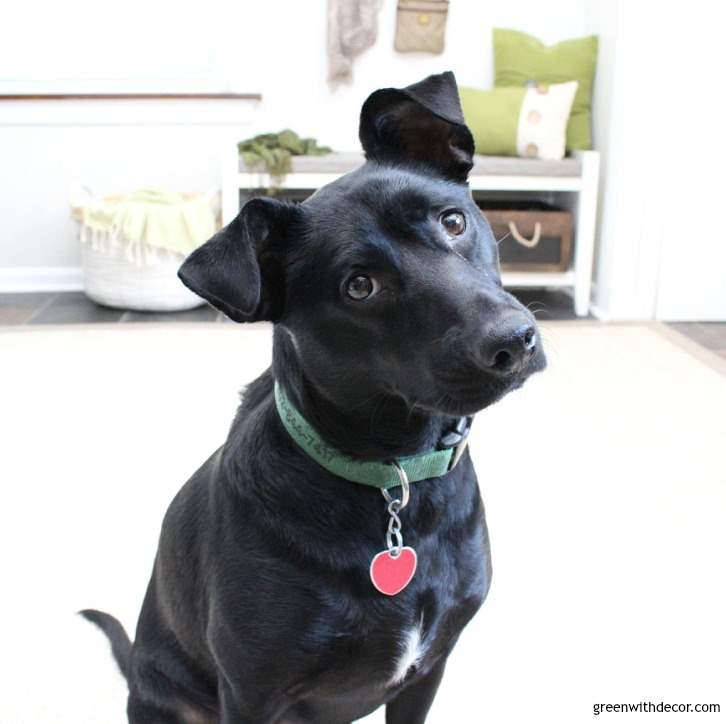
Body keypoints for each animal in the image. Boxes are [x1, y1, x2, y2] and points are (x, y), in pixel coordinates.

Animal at [82, 72, 544, 724]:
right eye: (359, 286)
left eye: (454, 222)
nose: (512, 341)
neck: (397, 482)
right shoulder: (250, 693)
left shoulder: (428, 671)